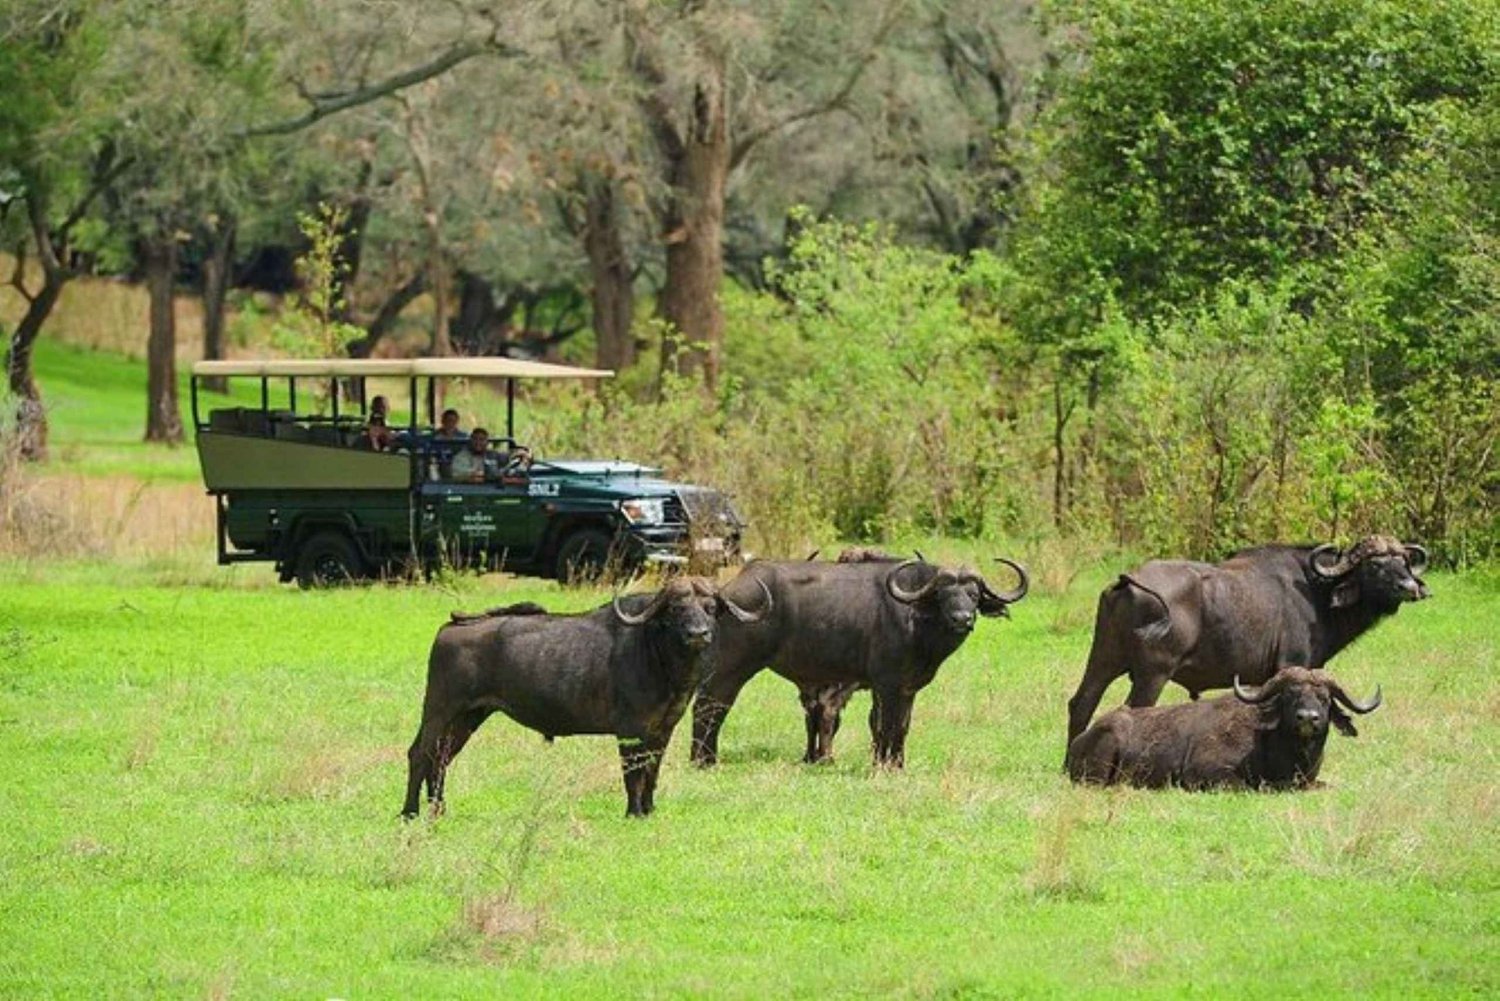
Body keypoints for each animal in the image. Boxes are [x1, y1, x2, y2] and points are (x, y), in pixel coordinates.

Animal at [402, 576, 768, 816]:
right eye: (677, 609)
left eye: (710, 607)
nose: (698, 634)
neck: (659, 657)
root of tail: (451, 627)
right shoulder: (630, 732)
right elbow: (633, 774)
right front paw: (634, 812)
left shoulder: (662, 730)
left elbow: (652, 771)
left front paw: (649, 809)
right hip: (439, 710)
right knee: (420, 754)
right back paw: (410, 813)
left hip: (467, 718)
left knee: (440, 758)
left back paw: (438, 811)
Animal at [693, 552, 1032, 774]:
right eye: (944, 594)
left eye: (973, 594)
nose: (962, 618)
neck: (916, 620)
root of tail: (722, 597)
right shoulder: (886, 685)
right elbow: (885, 725)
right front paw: (883, 765)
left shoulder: (907, 689)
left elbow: (902, 726)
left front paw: (898, 765)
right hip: (731, 667)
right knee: (710, 707)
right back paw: (704, 760)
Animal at [1062, 531, 1422, 759]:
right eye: (1375, 564)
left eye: (1403, 561)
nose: (1410, 587)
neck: (1315, 591)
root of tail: (1127, 579)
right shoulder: (1290, 665)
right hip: (1152, 674)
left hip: (1103, 660)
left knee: (1081, 704)